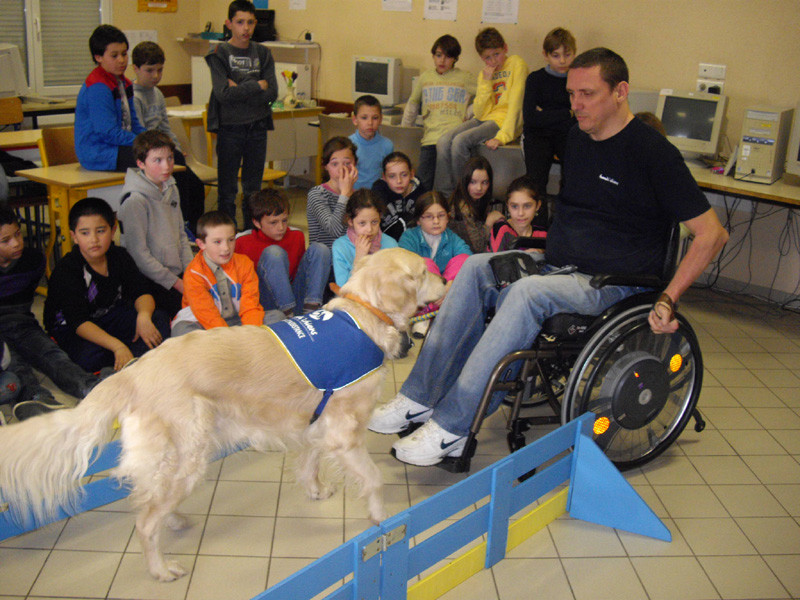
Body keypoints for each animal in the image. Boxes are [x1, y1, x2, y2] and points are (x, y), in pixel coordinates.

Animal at [0, 247, 444, 580]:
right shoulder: (344, 431)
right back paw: (161, 568)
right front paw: (382, 520)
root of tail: (134, 370)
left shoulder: (315, 421)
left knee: (150, 498)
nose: (445, 279)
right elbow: (372, 480)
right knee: (145, 521)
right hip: (191, 450)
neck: (366, 314)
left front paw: (315, 489)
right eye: (423, 271)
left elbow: (310, 461)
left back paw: (175, 519)